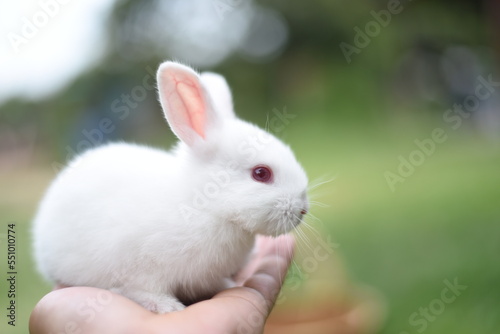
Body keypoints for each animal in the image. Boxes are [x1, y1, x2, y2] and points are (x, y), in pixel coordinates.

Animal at [32, 60, 308, 314]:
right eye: (261, 173)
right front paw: (167, 307)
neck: (204, 205)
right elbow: (140, 290)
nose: (302, 210)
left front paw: (229, 284)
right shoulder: (139, 270)